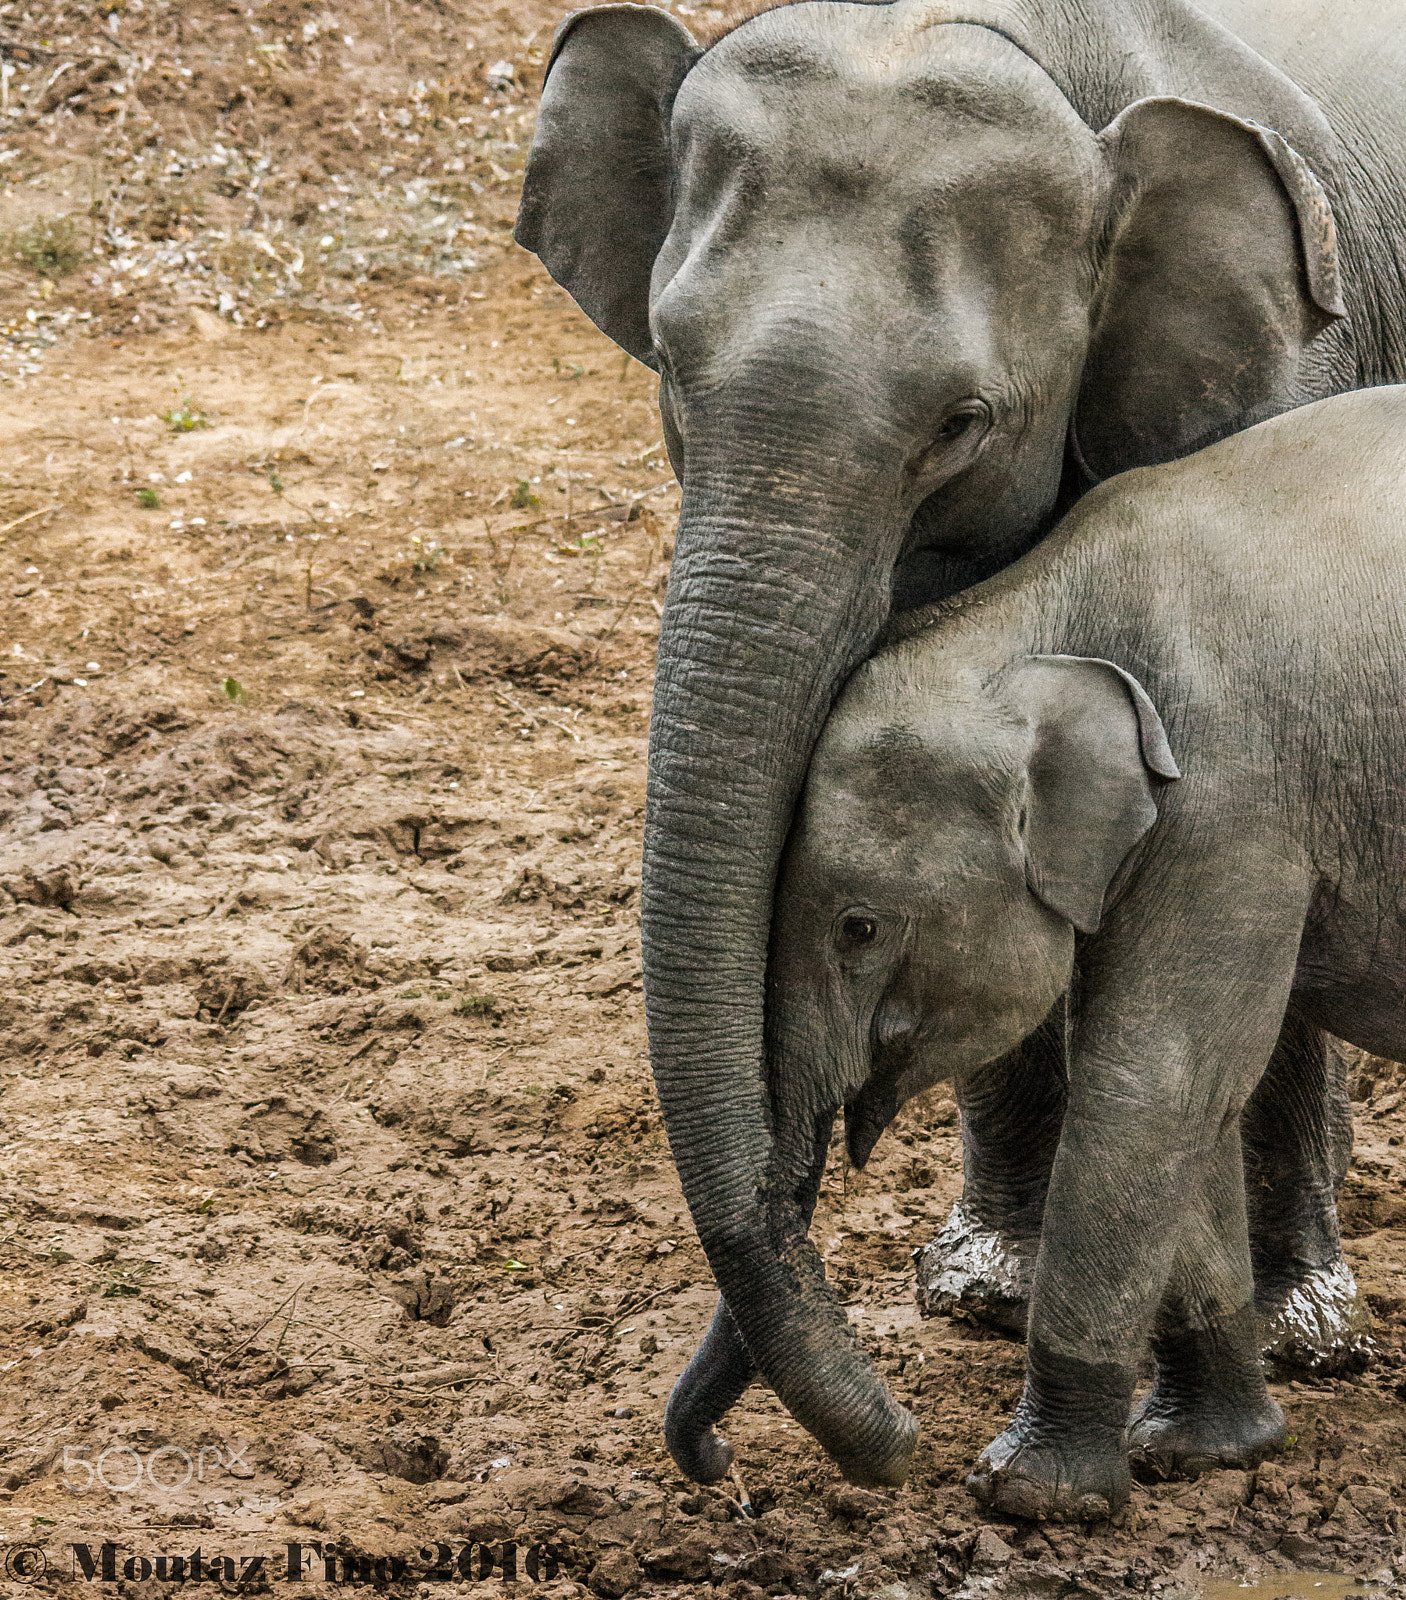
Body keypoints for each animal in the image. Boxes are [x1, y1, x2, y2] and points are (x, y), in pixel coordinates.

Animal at [764, 383, 1406, 1513]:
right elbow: (1191, 1100)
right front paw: (1203, 1453)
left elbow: (1148, 1079)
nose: (904, 1451)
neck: (1036, 614)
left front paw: (1029, 1496)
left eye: (858, 929)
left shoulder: (1231, 804)